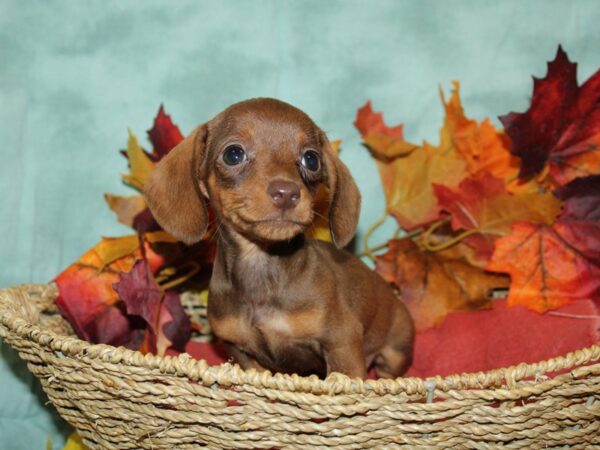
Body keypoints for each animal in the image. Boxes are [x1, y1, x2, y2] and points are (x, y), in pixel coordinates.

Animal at [145, 99, 412, 380]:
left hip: (395, 350)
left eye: (311, 159)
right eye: (233, 154)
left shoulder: (342, 341)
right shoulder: (238, 349)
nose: (286, 193)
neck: (261, 266)